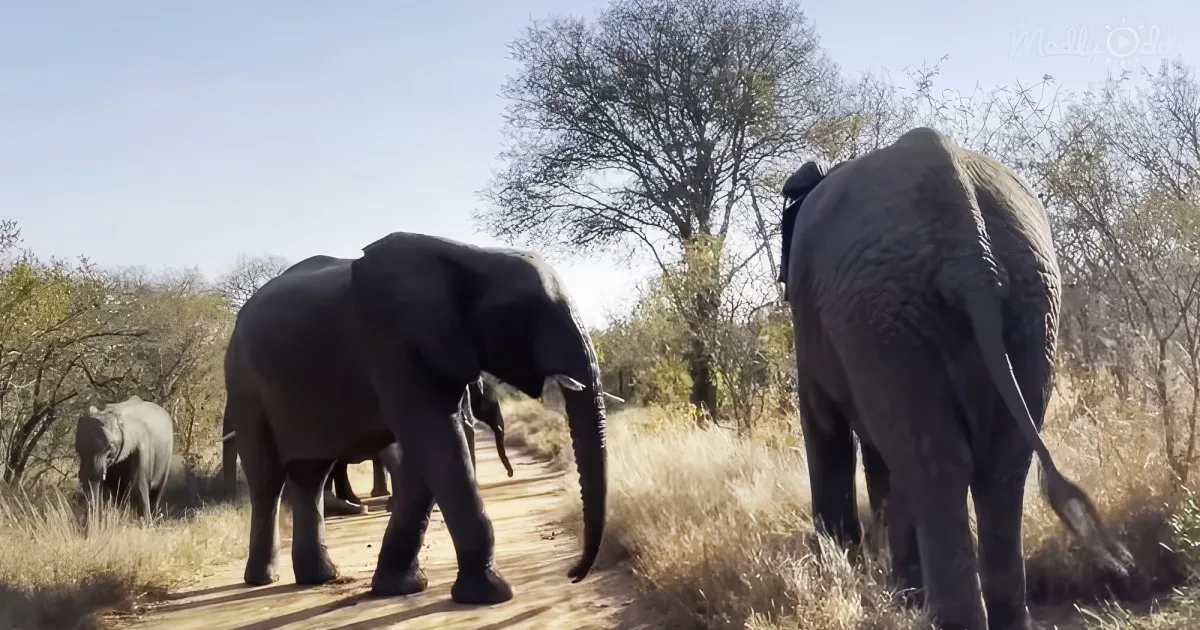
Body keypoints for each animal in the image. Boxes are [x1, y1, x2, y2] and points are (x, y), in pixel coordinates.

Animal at [220, 232, 609, 605]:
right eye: (523, 316)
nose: (573, 574)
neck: (474, 257)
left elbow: (427, 456)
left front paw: (399, 587)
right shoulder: (393, 348)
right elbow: (438, 443)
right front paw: (490, 594)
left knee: (310, 475)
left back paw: (321, 577)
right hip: (244, 387)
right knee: (268, 480)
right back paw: (264, 579)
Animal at [779, 127, 1133, 629]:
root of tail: (973, 255)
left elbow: (826, 428)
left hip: (887, 317)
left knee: (935, 468)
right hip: (1026, 304)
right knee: (1000, 468)